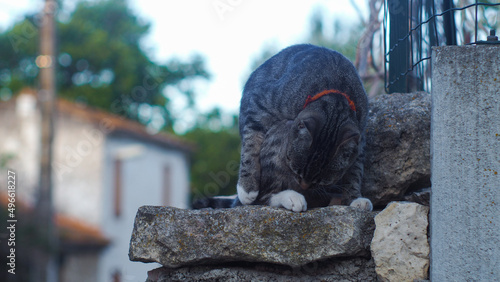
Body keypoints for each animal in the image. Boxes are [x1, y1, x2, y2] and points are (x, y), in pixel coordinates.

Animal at [193, 44, 374, 212]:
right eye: (296, 170)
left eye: (323, 180)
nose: (304, 185)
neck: (337, 90)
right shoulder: (259, 103)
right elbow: (250, 144)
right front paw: (247, 188)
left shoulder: (360, 138)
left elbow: (355, 171)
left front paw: (354, 199)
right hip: (281, 130)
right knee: (264, 196)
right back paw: (292, 197)